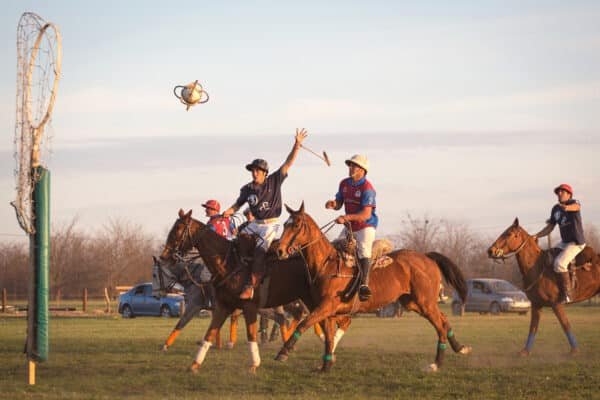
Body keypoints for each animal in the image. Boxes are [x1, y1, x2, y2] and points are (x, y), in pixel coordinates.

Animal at [158, 211, 352, 374]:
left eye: (177, 230)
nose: (164, 256)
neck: (229, 265)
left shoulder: (248, 306)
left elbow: (250, 334)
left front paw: (254, 364)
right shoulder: (222, 306)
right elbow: (209, 333)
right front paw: (195, 364)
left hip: (321, 302)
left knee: (332, 320)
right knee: (329, 321)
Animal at [274, 205, 472, 374]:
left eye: (296, 225)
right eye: (284, 224)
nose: (280, 250)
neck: (326, 264)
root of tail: (427, 257)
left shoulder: (326, 306)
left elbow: (304, 324)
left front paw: (283, 352)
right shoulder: (326, 312)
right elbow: (328, 337)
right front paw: (325, 366)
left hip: (425, 302)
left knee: (440, 325)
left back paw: (436, 363)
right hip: (413, 302)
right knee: (443, 319)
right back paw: (460, 347)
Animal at [488, 217, 600, 354]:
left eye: (509, 234)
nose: (490, 250)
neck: (537, 267)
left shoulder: (556, 304)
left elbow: (565, 324)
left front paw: (574, 350)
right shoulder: (536, 304)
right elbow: (533, 327)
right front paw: (525, 352)